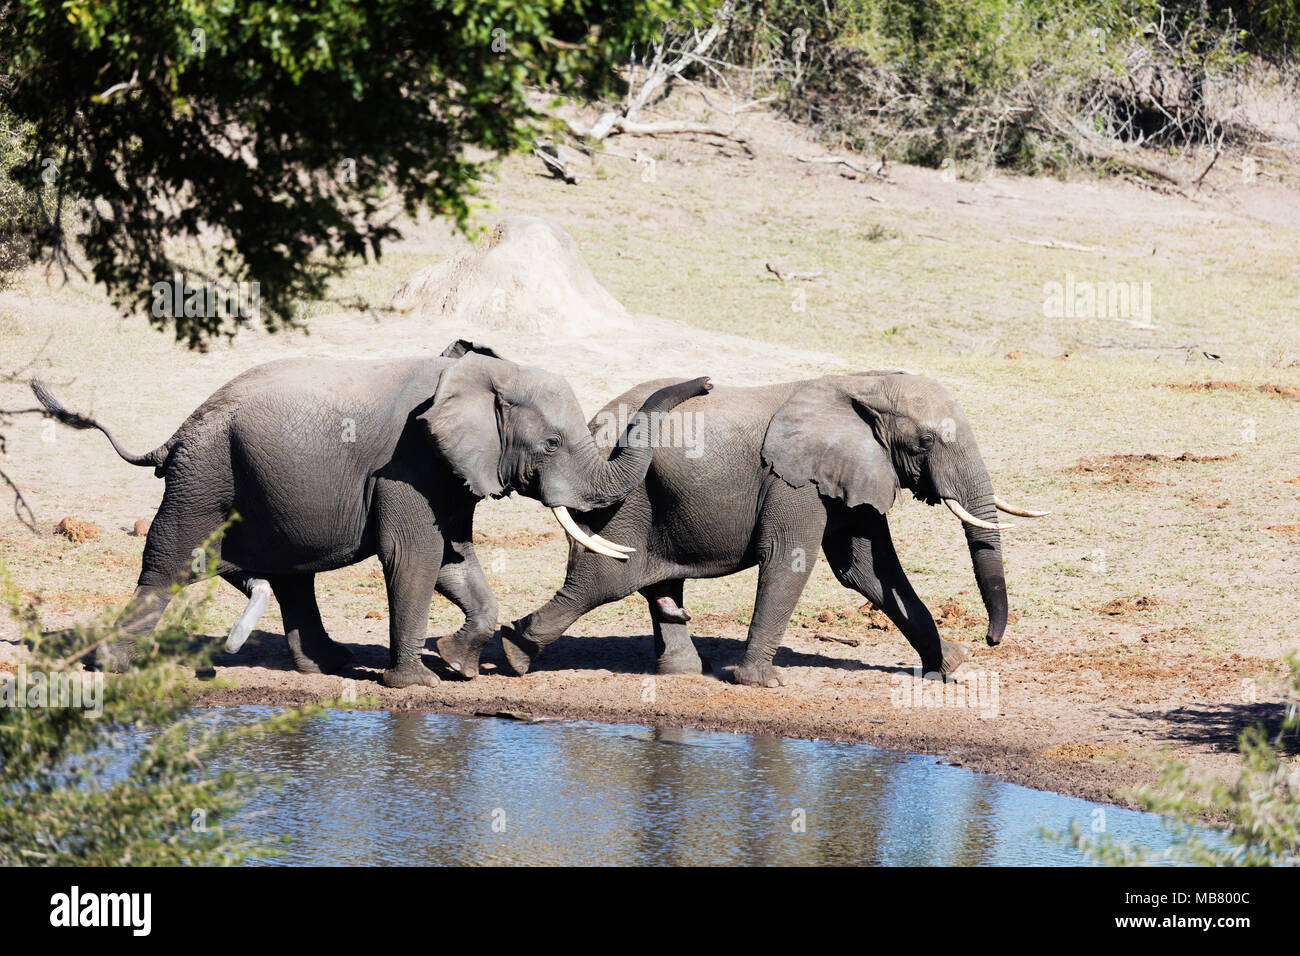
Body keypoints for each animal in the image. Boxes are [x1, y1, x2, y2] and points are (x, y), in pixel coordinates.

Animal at [32, 340, 712, 686]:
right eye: (549, 444)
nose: (705, 382)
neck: (484, 371)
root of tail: (174, 432)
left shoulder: (447, 469)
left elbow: (454, 558)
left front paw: (456, 663)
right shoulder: (411, 458)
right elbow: (415, 556)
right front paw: (417, 683)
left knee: (290, 576)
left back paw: (329, 666)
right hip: (206, 474)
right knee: (171, 559)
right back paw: (116, 666)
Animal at [488, 369, 1045, 686]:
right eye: (926, 441)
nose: (991, 641)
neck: (859, 383)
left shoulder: (849, 471)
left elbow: (867, 568)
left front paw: (950, 668)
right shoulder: (794, 479)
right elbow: (791, 559)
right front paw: (760, 682)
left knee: (655, 581)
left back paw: (684, 673)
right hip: (623, 503)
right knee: (603, 579)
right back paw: (512, 655)